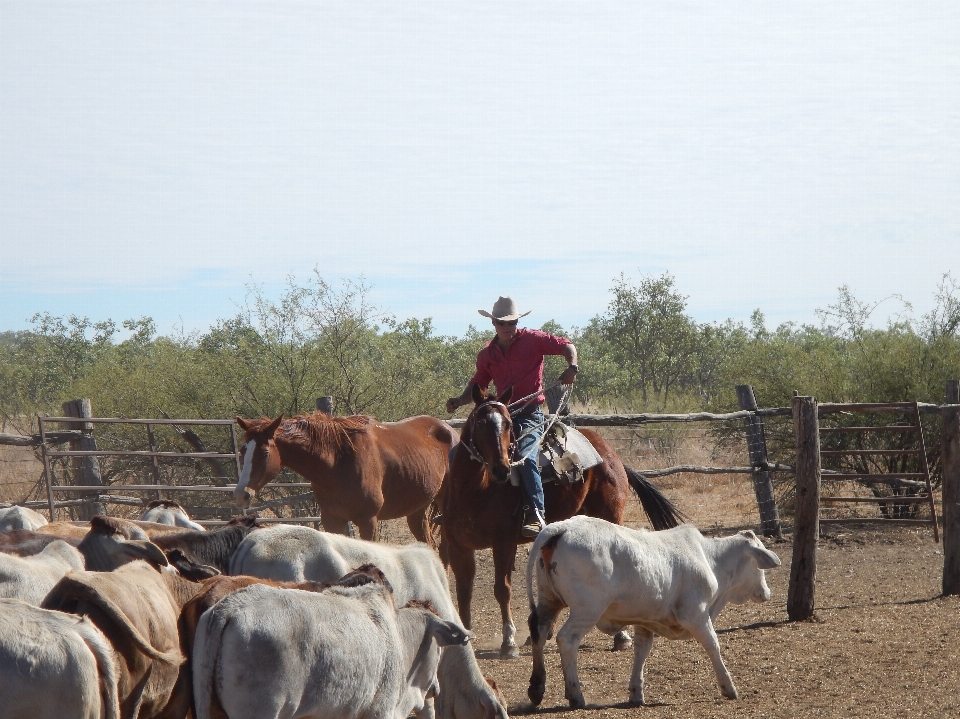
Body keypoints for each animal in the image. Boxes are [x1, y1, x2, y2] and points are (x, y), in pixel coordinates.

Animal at [234, 414, 456, 544]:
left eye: (264, 453)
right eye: (242, 451)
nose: (240, 495)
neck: (338, 462)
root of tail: (450, 431)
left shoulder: (368, 521)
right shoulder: (332, 520)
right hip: (417, 512)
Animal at [442, 388, 684, 660]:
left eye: (507, 425)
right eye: (481, 422)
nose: (502, 469)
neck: (475, 490)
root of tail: (609, 453)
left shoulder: (503, 543)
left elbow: (502, 589)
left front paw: (508, 642)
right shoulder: (458, 546)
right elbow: (463, 592)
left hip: (609, 516)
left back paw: (621, 636)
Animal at [524, 516, 780, 708]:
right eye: (759, 564)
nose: (766, 592)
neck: (710, 558)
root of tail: (561, 527)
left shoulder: (644, 621)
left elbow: (641, 651)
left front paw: (636, 692)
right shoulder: (696, 614)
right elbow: (713, 645)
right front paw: (728, 687)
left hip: (548, 601)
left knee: (539, 634)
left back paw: (536, 688)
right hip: (586, 610)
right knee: (567, 640)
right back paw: (575, 695)